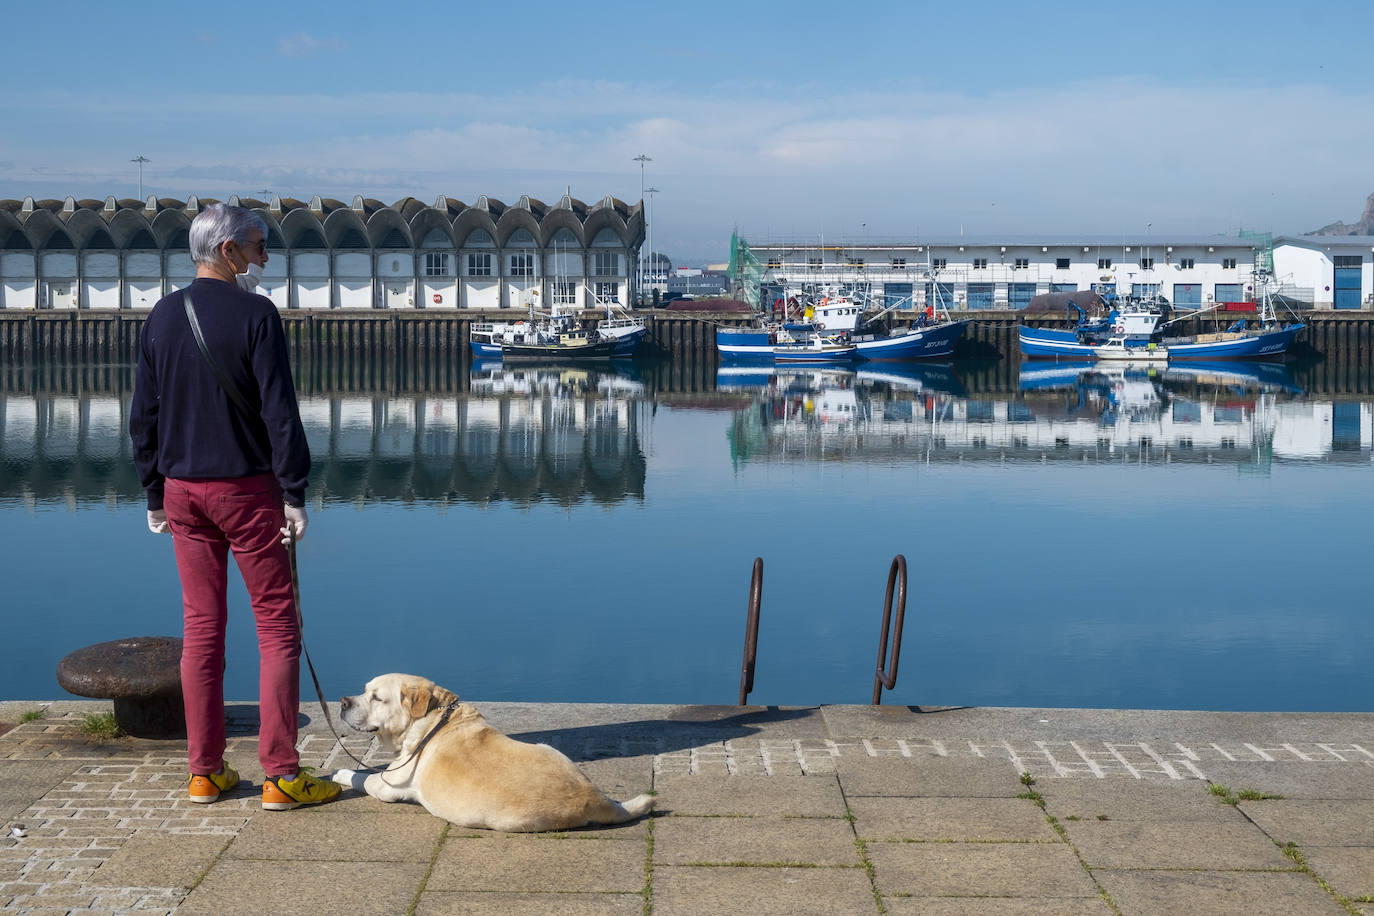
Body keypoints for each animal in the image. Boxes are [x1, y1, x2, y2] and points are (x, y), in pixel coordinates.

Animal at [331, 672, 654, 829]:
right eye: (364, 690)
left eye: (376, 698)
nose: (343, 701)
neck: (434, 717)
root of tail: (593, 797)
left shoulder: (387, 784)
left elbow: (360, 777)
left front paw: (338, 773)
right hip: (550, 748)